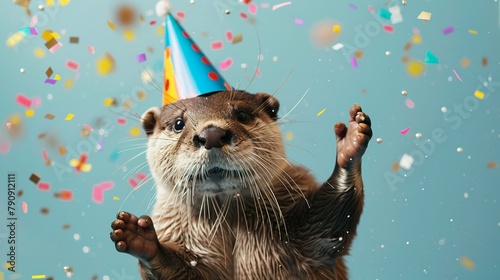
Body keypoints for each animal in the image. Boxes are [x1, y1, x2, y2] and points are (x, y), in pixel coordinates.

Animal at [111, 91, 374, 278]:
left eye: (242, 115)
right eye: (178, 123)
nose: (212, 134)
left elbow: (326, 228)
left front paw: (350, 144)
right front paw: (142, 239)